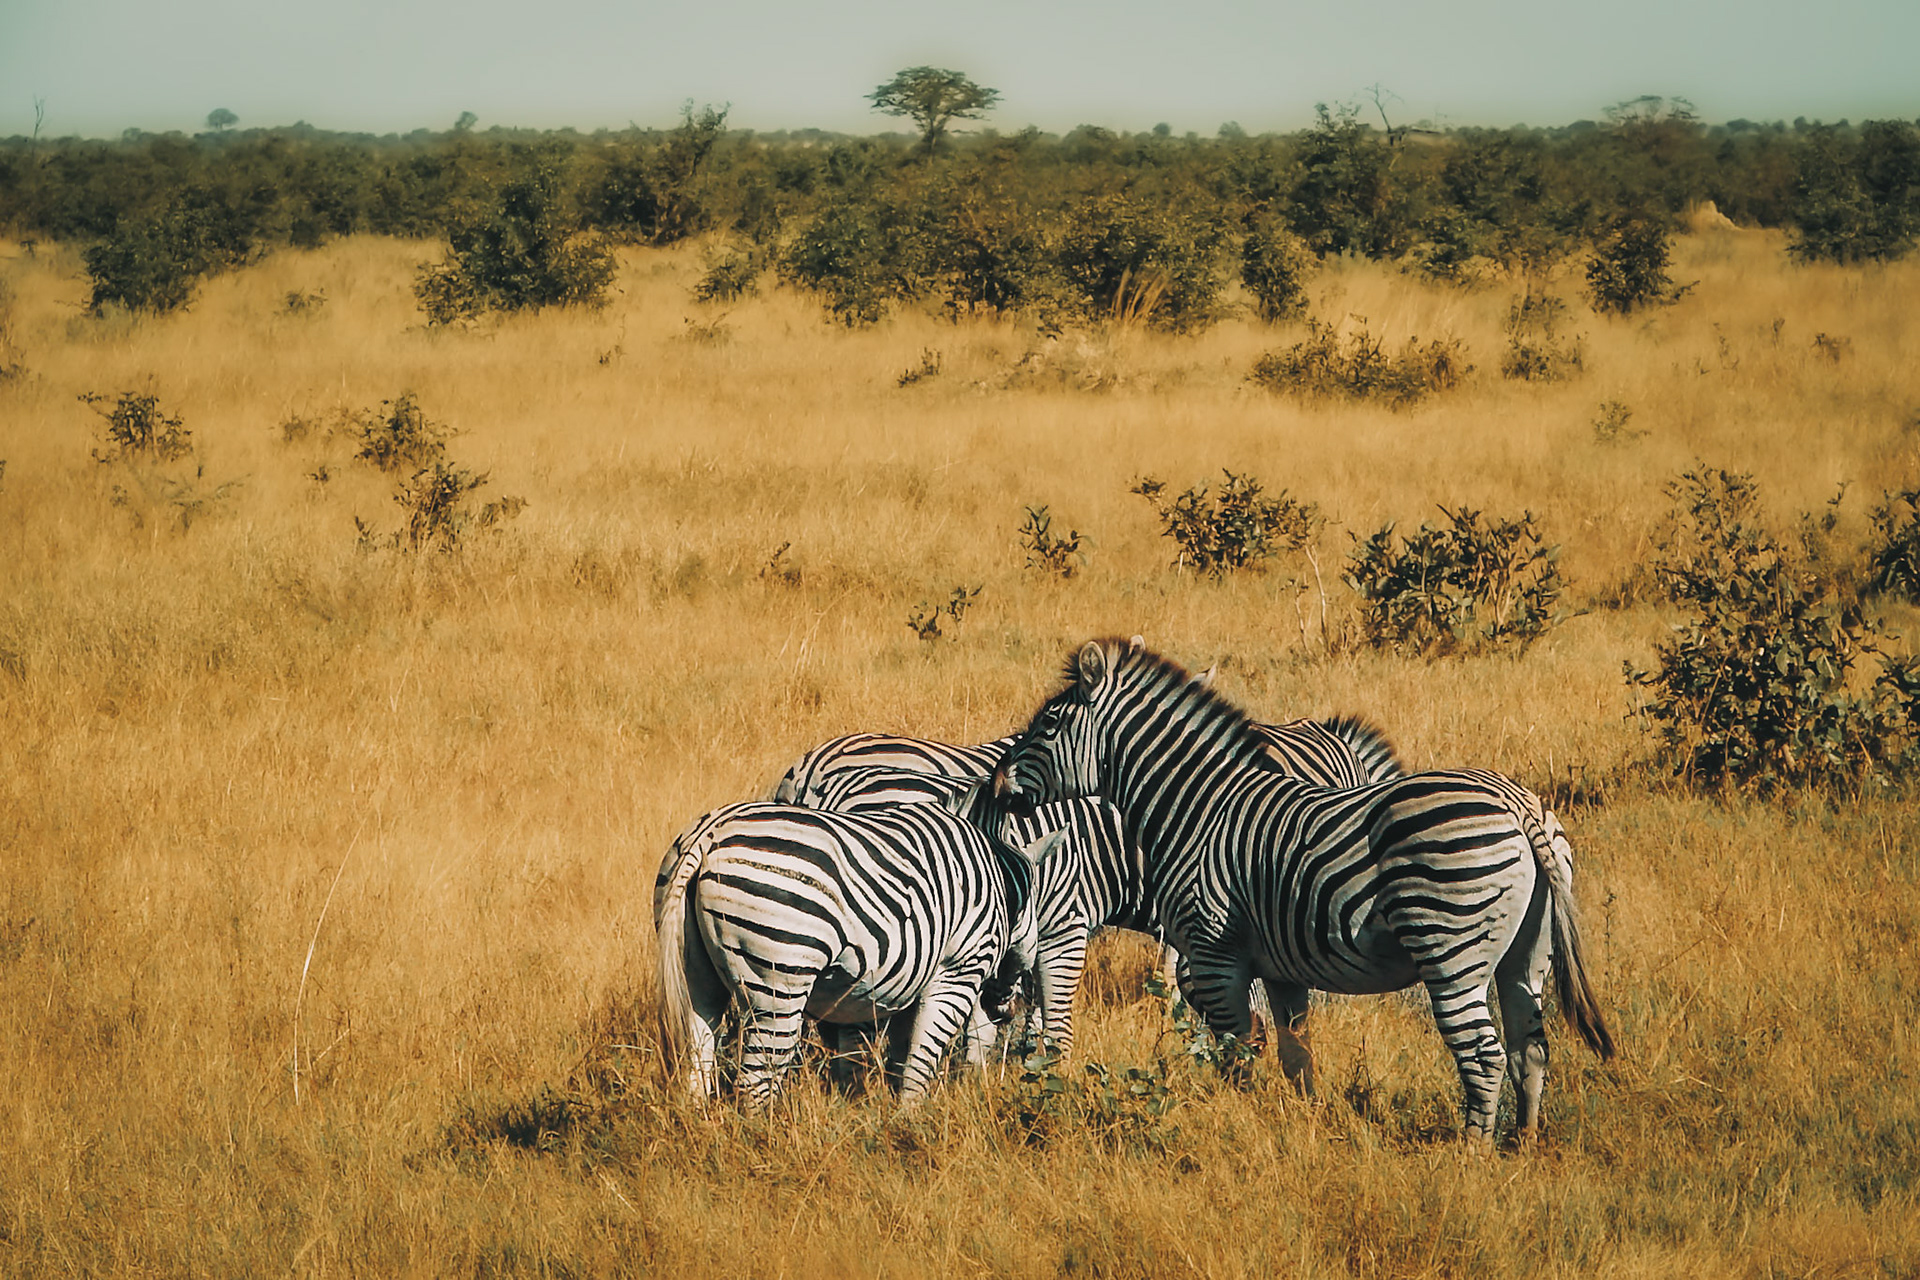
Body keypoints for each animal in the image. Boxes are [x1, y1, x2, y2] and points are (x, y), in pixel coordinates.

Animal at [654, 793, 1065, 1106]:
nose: (1003, 1011)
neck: (1001, 886)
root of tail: (712, 831)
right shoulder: (957, 973)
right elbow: (923, 1057)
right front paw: (913, 1123)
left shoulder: (906, 985)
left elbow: (896, 1059)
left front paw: (884, 1117)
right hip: (779, 977)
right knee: (756, 1084)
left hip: (696, 976)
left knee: (698, 1059)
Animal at [991, 637, 1615, 1146]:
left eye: (1048, 726)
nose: (994, 786)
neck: (1197, 808)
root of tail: (1516, 803)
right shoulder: (1281, 969)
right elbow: (1297, 1055)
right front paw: (1306, 1125)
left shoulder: (1214, 955)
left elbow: (1238, 1052)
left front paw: (1239, 1126)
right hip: (1526, 953)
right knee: (1530, 1047)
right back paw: (1521, 1146)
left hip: (1450, 943)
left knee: (1483, 1055)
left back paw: (1472, 1154)